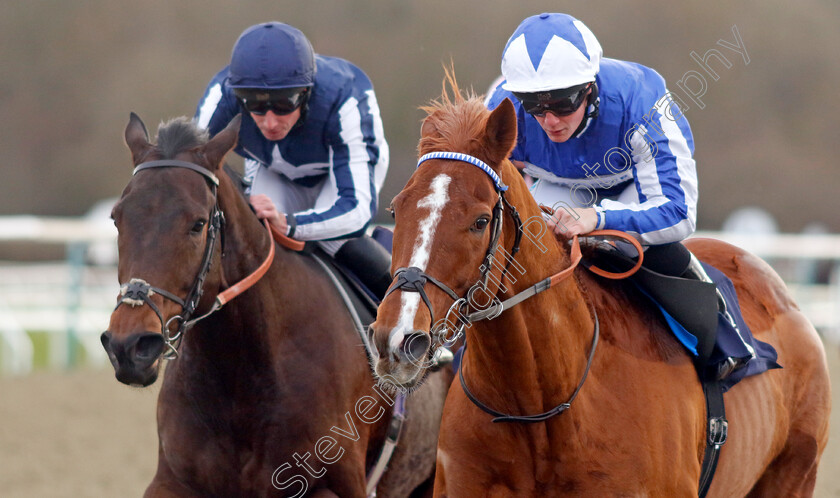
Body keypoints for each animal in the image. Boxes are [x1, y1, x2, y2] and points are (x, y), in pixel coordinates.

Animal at [101, 114, 450, 498]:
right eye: (117, 218)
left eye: (198, 224)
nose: (130, 345)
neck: (241, 377)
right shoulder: (173, 480)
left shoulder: (329, 485)